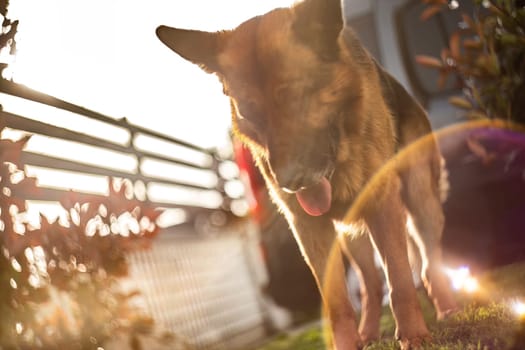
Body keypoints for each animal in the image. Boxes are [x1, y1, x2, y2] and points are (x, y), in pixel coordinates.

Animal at [155, 0, 454, 348]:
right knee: (370, 284)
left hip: (421, 204)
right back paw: (367, 332)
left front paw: (413, 336)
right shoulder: (309, 227)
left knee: (428, 265)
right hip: (351, 235)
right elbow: (337, 302)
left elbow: (401, 280)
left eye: (295, 98)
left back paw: (447, 310)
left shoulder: (382, 205)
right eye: (250, 112)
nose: (288, 183)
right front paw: (347, 343)